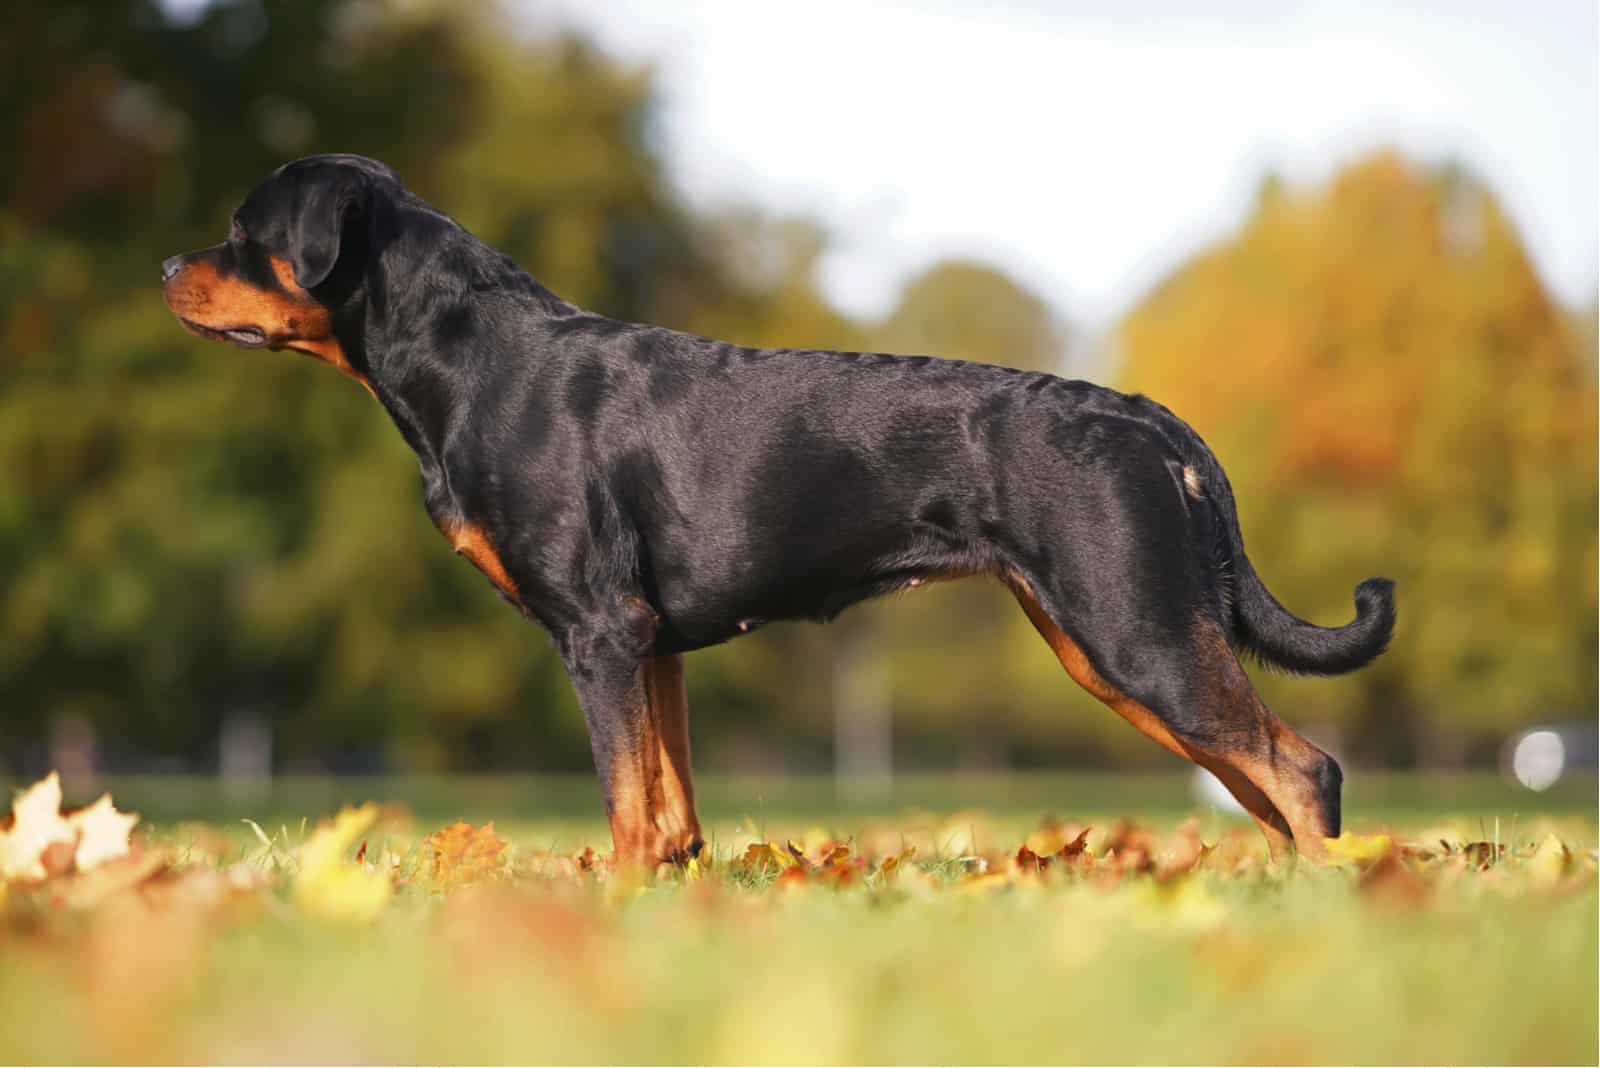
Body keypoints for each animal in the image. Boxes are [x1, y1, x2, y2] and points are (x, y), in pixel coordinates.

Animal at [156, 151, 1395, 869]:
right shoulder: (652, 646)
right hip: (1113, 646)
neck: (471, 358)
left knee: (1302, 772)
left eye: (244, 232)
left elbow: (624, 808)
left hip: (1138, 636)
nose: (168, 265)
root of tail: (1144, 417)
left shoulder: (600, 635)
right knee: (1264, 784)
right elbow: (668, 814)